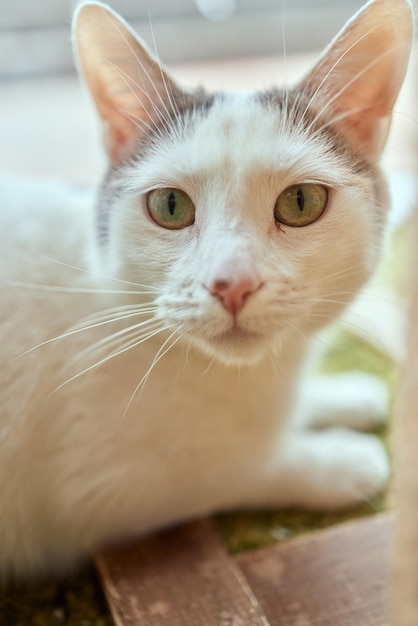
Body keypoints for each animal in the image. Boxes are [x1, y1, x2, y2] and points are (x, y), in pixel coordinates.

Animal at [0, 0, 412, 576]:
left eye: (301, 202)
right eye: (170, 206)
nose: (231, 283)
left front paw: (342, 395)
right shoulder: (101, 493)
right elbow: (237, 468)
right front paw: (340, 461)